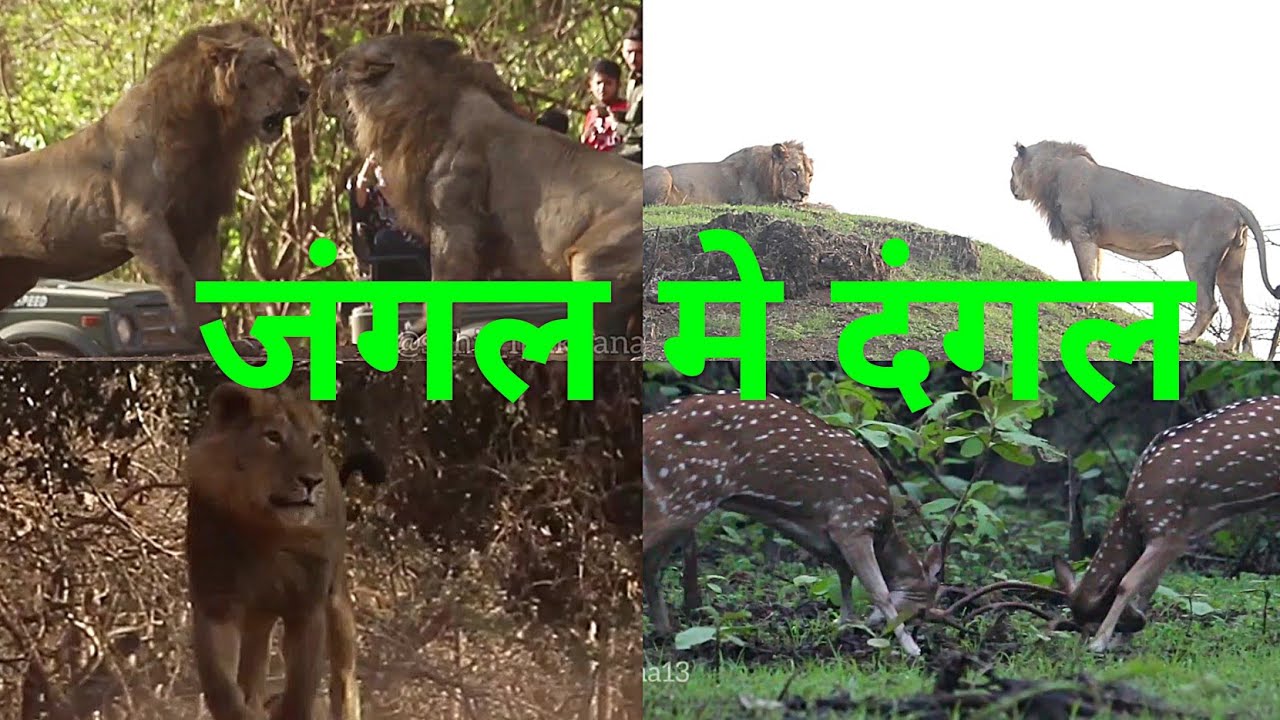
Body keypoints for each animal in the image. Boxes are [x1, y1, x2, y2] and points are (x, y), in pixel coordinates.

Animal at [0, 21, 310, 357]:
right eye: (269, 64)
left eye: (292, 62)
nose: (306, 92)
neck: (213, 133)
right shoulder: (143, 219)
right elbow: (179, 276)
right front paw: (197, 334)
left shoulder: (200, 221)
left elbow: (208, 283)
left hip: (17, 273)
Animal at [184, 382, 386, 720]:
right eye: (273, 437)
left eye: (315, 439)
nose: (312, 481)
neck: (266, 528)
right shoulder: (217, 604)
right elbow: (222, 688)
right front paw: (244, 711)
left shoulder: (306, 607)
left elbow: (300, 692)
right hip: (258, 616)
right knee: (251, 675)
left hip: (336, 604)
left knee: (343, 678)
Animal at [319, 34, 642, 353]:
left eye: (338, 70)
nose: (317, 93)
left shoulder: (453, 222)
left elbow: (442, 281)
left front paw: (423, 339)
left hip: (589, 261)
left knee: (604, 337)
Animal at [1010, 140, 1280, 355]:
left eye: (1011, 170)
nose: (1010, 187)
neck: (1053, 171)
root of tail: (1232, 203)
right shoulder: (1093, 238)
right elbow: (1096, 269)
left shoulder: (1080, 229)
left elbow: (1086, 270)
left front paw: (1083, 304)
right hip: (1230, 265)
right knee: (1242, 311)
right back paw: (1227, 347)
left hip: (1198, 258)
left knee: (1209, 304)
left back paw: (1187, 338)